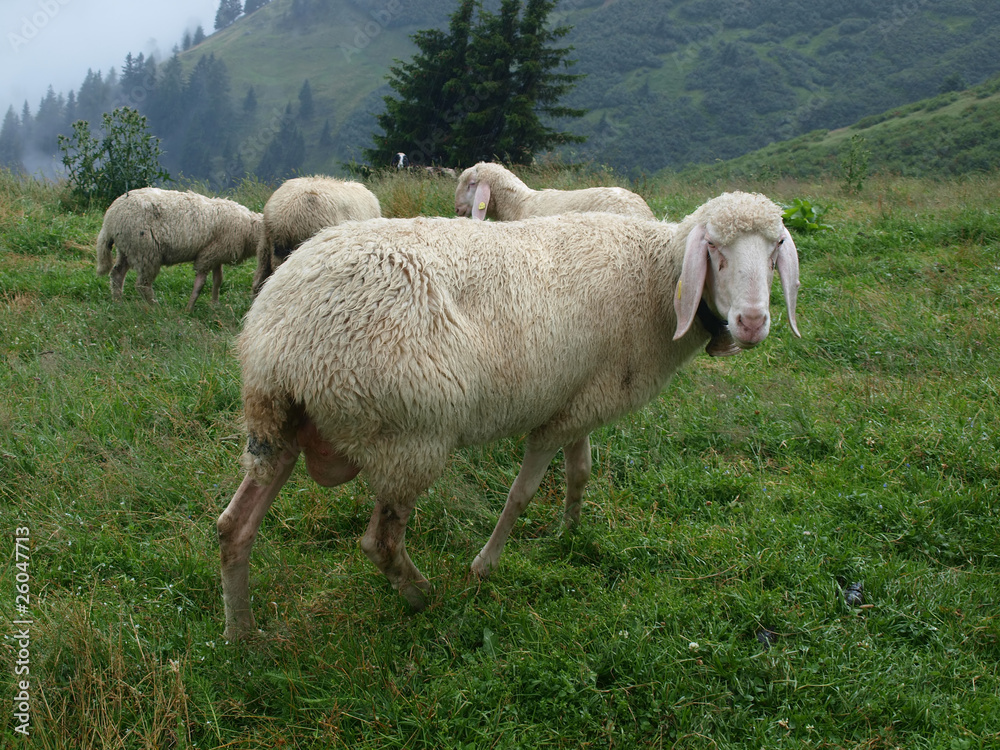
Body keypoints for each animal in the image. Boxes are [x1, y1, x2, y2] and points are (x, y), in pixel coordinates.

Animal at [95, 187, 263, 311]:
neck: (249, 228)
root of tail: (110, 220)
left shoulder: (217, 254)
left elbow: (218, 280)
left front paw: (215, 304)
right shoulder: (208, 255)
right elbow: (200, 283)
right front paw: (189, 308)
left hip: (126, 249)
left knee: (117, 274)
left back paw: (118, 303)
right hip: (145, 251)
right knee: (142, 284)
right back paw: (156, 307)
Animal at [217, 191, 800, 638]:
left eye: (776, 248)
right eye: (715, 250)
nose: (752, 323)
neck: (655, 281)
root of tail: (281, 335)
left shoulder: (581, 398)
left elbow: (580, 471)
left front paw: (569, 533)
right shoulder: (560, 416)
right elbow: (521, 494)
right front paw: (485, 566)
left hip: (281, 426)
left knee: (233, 527)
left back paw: (242, 635)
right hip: (408, 436)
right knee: (379, 542)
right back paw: (422, 595)